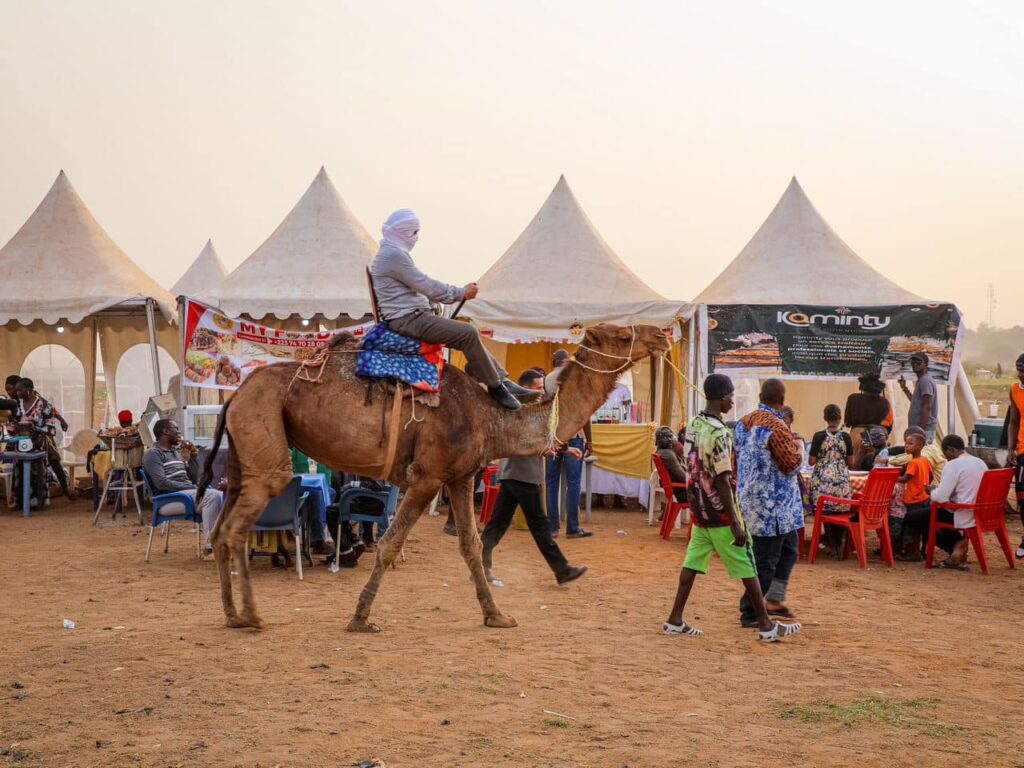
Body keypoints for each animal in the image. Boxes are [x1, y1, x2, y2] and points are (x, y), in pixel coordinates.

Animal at [199, 323, 671, 630]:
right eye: (623, 336)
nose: (664, 335)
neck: (490, 418)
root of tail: (236, 395)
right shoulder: (425, 477)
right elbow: (389, 545)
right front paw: (361, 618)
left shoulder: (460, 477)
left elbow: (471, 545)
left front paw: (496, 615)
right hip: (265, 447)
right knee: (238, 527)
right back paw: (252, 615)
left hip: (241, 460)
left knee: (221, 529)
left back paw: (231, 614)